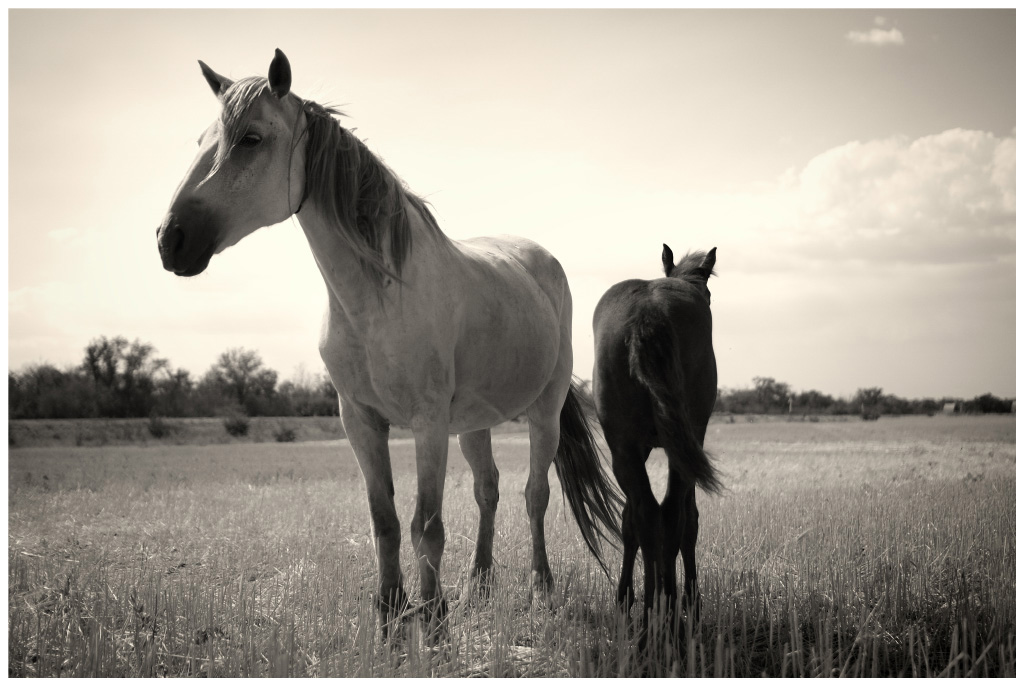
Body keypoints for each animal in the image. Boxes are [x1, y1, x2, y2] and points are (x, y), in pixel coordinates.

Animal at [152, 49, 614, 634]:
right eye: (200, 141)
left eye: (251, 139)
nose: (170, 240)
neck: (377, 297)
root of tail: (540, 259)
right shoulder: (361, 421)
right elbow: (386, 520)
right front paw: (391, 611)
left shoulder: (428, 423)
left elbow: (427, 525)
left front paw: (433, 617)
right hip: (474, 423)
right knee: (488, 491)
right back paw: (478, 587)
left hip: (543, 411)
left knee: (535, 496)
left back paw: (541, 589)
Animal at [593, 244, 720, 626]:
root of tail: (646, 312)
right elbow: (689, 521)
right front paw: (691, 599)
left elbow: (629, 520)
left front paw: (625, 597)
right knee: (673, 514)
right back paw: (666, 607)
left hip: (624, 448)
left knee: (649, 514)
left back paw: (654, 611)